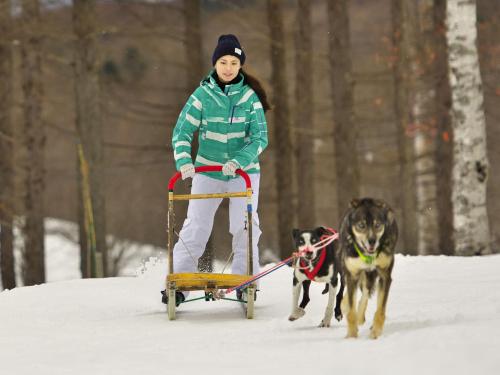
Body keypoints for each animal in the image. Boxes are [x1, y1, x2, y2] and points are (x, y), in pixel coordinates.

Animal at [340, 198, 398, 340]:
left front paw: (375, 333)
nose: (372, 241)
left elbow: (380, 310)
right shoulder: (352, 274)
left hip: (370, 274)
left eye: (377, 225)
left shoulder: (384, 276)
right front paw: (351, 336)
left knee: (366, 292)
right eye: (362, 225)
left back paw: (360, 317)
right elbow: (351, 311)